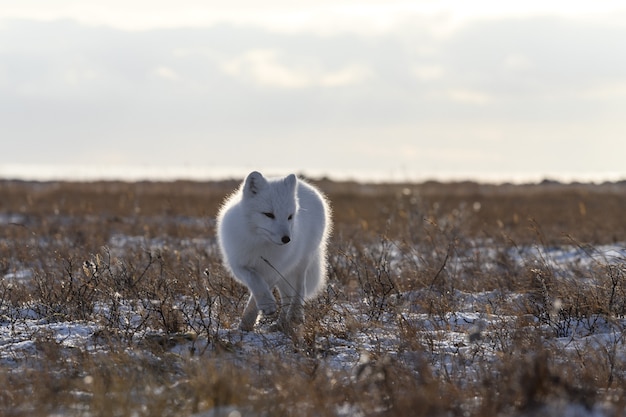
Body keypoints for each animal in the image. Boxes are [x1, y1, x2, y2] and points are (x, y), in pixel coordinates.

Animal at [216, 170, 332, 332]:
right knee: (286, 297)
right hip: (283, 273)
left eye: (290, 216)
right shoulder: (240, 264)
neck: (260, 241)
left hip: (299, 263)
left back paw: (295, 315)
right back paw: (280, 324)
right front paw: (247, 323)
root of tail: (305, 185)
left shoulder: (272, 270)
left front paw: (250, 321)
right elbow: (256, 283)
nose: (287, 239)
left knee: (298, 288)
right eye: (269, 214)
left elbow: (255, 298)